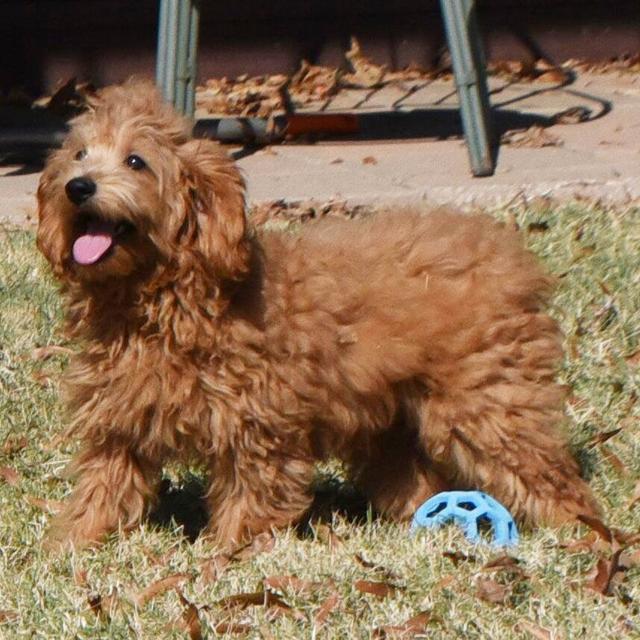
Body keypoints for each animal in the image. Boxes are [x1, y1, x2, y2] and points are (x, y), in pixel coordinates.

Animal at [37, 81, 600, 552]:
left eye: (136, 161)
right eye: (79, 154)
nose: (78, 187)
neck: (159, 300)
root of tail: (509, 257)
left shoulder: (257, 426)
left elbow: (251, 496)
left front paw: (225, 555)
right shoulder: (120, 417)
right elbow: (105, 485)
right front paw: (69, 546)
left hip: (490, 402)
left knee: (548, 475)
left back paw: (584, 535)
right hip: (396, 419)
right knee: (416, 476)